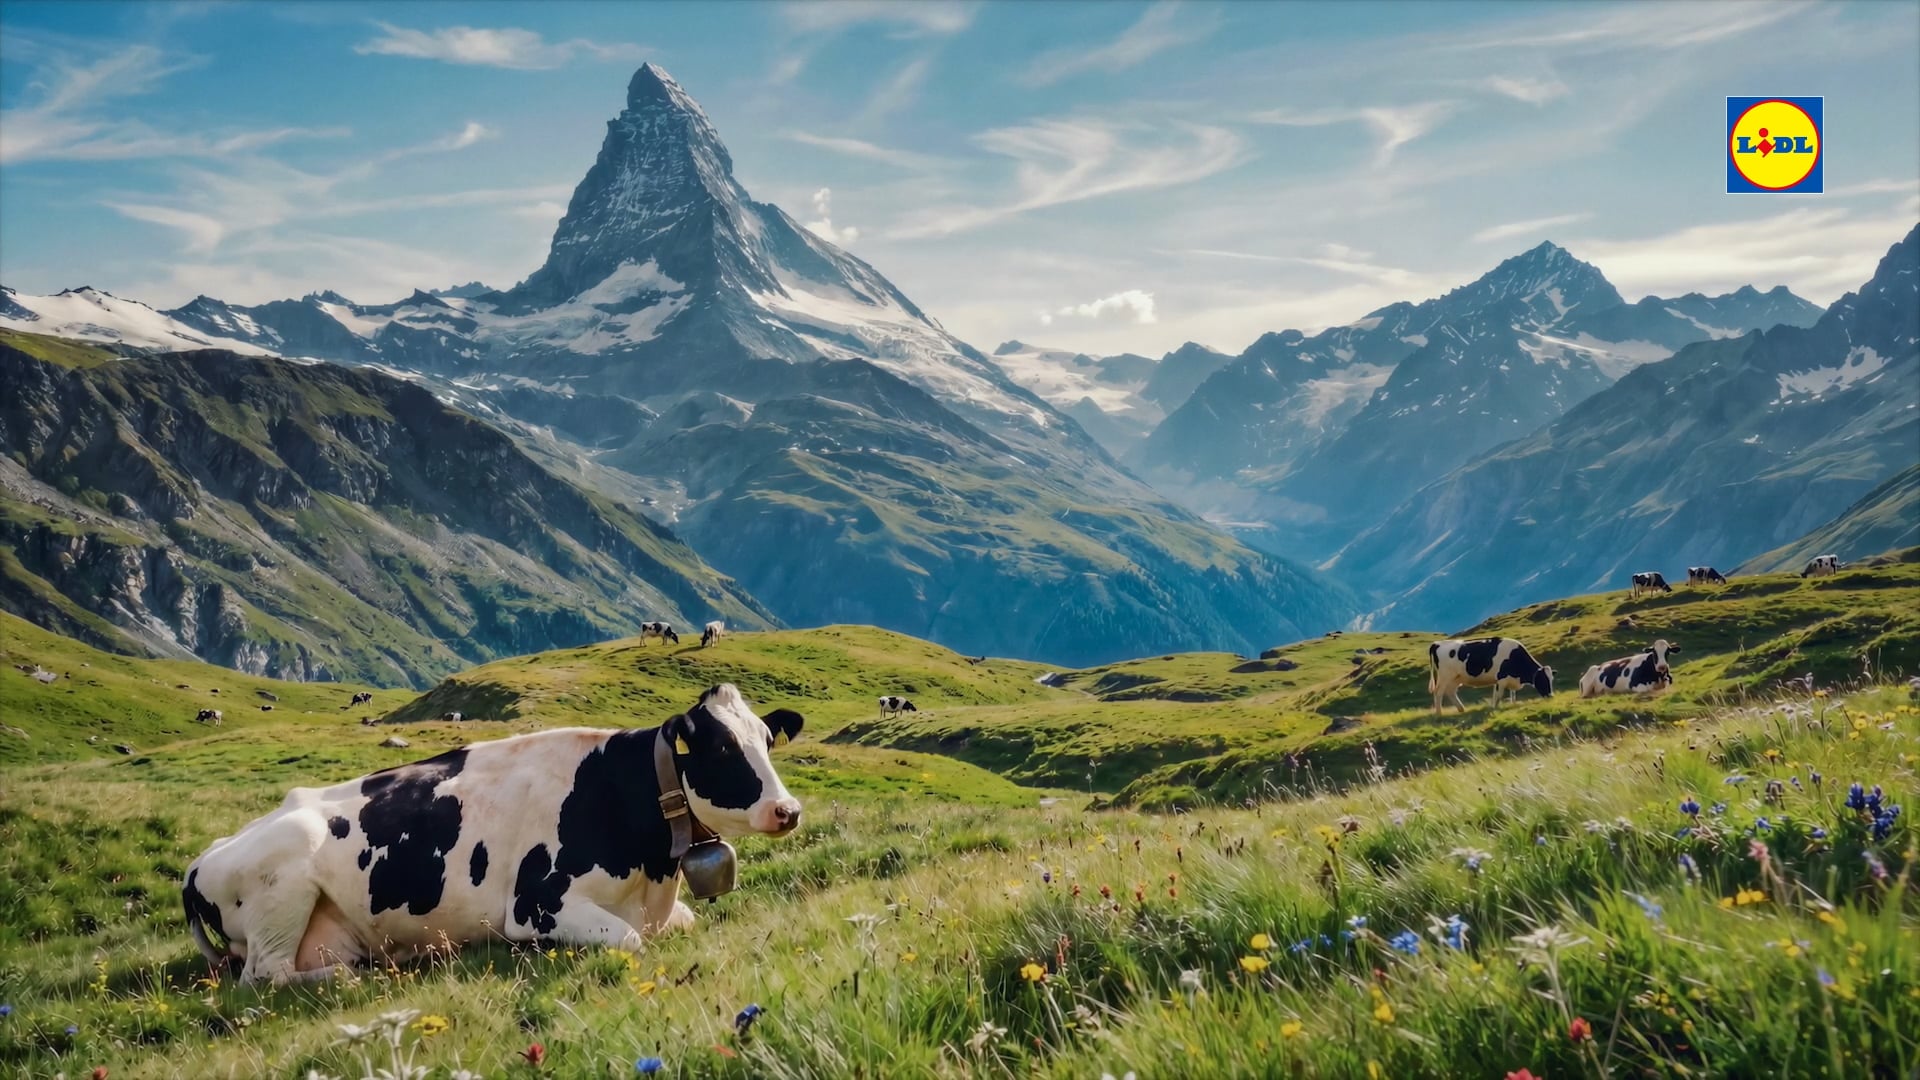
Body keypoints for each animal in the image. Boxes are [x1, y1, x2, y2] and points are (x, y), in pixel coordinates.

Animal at [180, 684, 805, 986]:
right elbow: (630, 940)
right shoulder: (538, 905)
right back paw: (355, 975)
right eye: (722, 748)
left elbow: (684, 922)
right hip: (283, 887)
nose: (788, 810)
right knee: (265, 975)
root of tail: (201, 859)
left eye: (766, 740)